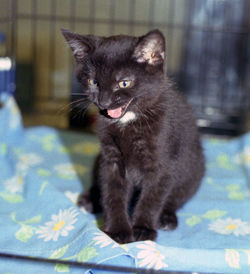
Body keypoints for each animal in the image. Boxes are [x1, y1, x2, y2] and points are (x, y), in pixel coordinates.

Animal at [62, 29, 205, 244]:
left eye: (124, 83)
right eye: (93, 82)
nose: (104, 102)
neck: (128, 121)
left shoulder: (161, 163)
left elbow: (152, 197)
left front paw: (143, 229)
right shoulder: (111, 159)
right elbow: (113, 193)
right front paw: (117, 230)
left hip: (193, 170)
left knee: (176, 197)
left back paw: (167, 217)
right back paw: (89, 200)